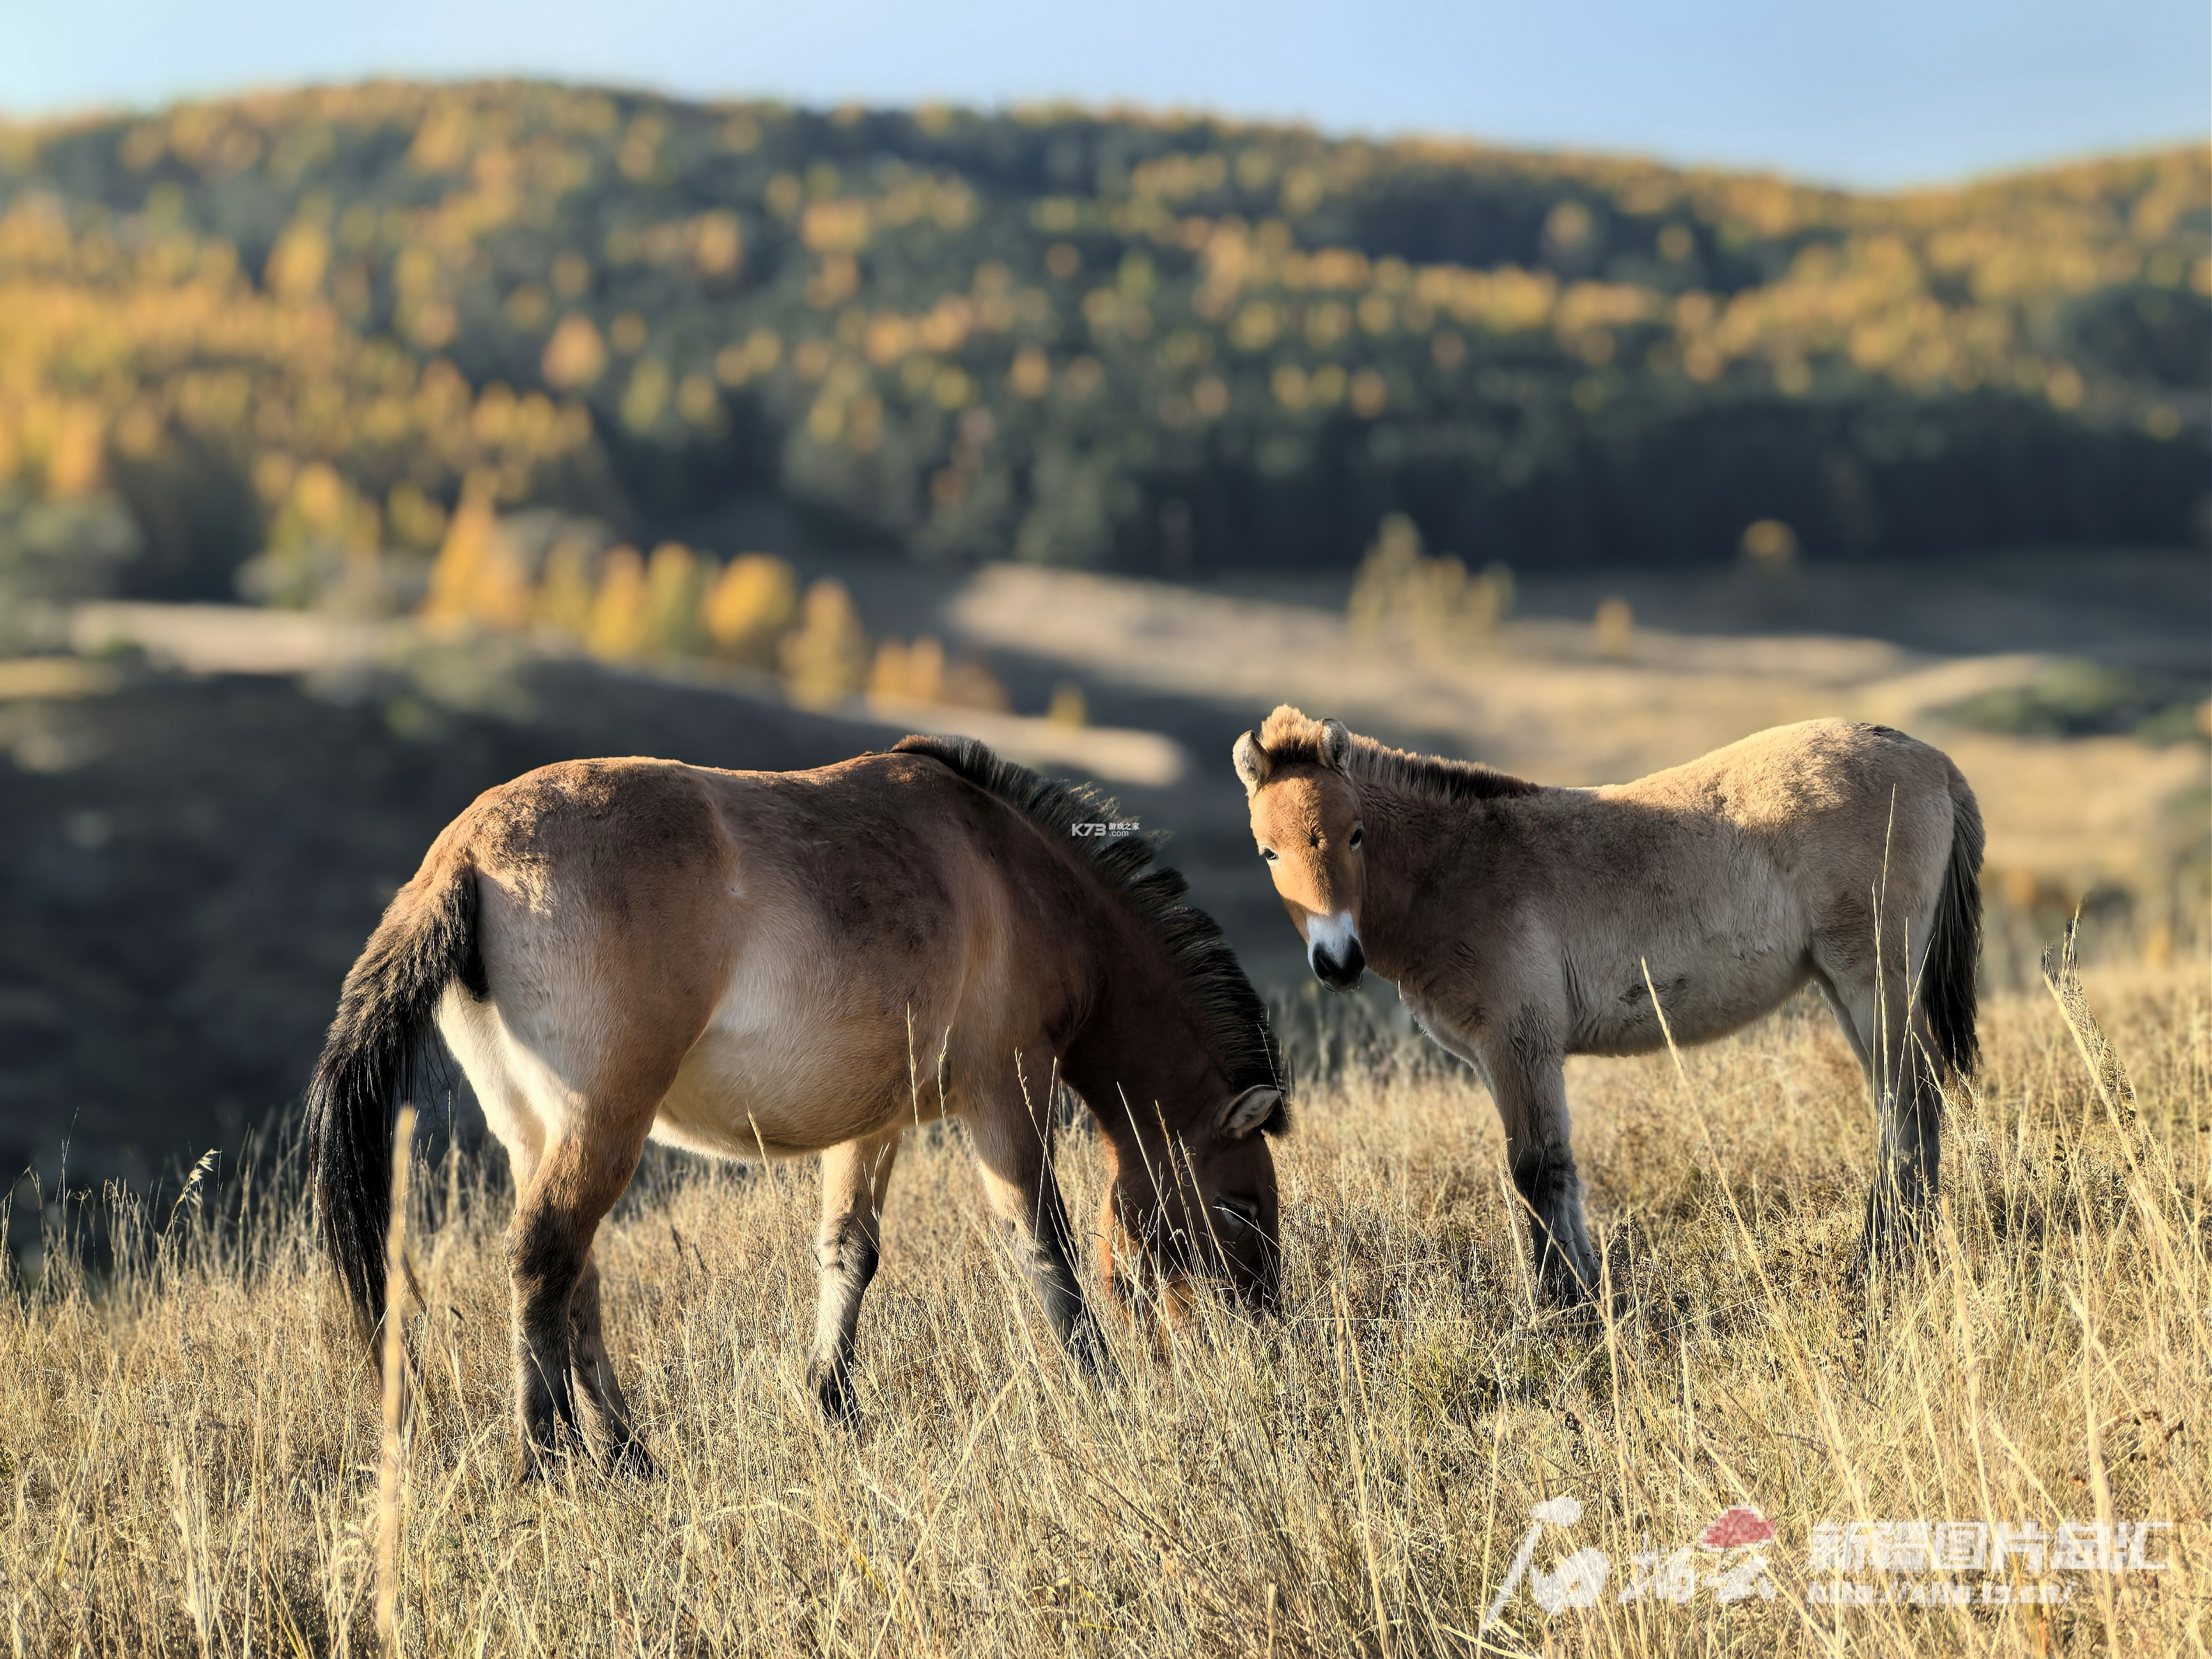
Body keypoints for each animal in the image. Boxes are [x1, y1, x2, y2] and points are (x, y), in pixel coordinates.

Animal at [306, 734, 1288, 1475]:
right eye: (1242, 1208)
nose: (1267, 1342)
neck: (1019, 876)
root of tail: (466, 856)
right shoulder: (1009, 1092)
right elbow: (1044, 1247)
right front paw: (1101, 1388)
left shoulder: (876, 1126)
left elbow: (850, 1254)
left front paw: (834, 1405)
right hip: (602, 1127)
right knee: (544, 1263)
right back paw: (550, 1462)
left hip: (538, 1134)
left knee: (573, 1280)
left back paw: (630, 1456)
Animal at [1232, 707, 1981, 1303]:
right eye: (1267, 852)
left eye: (1354, 834)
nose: (1338, 962)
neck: (1456, 867)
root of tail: (1932, 761)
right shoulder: (1499, 1056)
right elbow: (1556, 1170)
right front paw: (1587, 1292)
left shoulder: (1518, 1041)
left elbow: (1534, 1169)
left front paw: (1557, 1310)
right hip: (1840, 982)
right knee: (1893, 1102)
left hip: (1870, 972)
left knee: (1913, 1097)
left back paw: (1884, 1261)